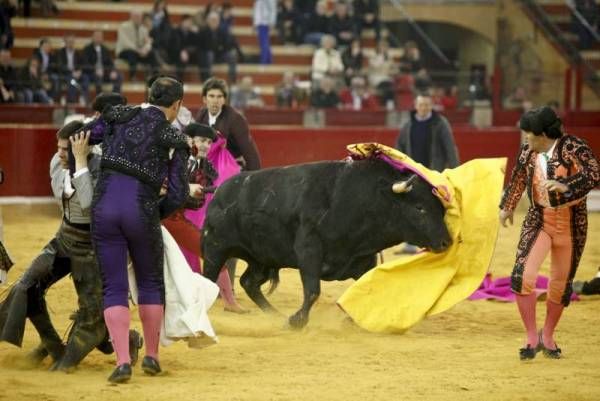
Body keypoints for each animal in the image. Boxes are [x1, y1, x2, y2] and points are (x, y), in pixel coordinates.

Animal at [202, 158, 450, 326]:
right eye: (419, 208)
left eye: (440, 209)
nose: (446, 242)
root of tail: (219, 191)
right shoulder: (309, 251)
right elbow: (313, 290)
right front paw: (297, 321)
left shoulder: (362, 260)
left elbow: (367, 286)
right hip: (215, 249)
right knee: (210, 279)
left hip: (261, 258)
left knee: (249, 282)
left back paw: (275, 315)